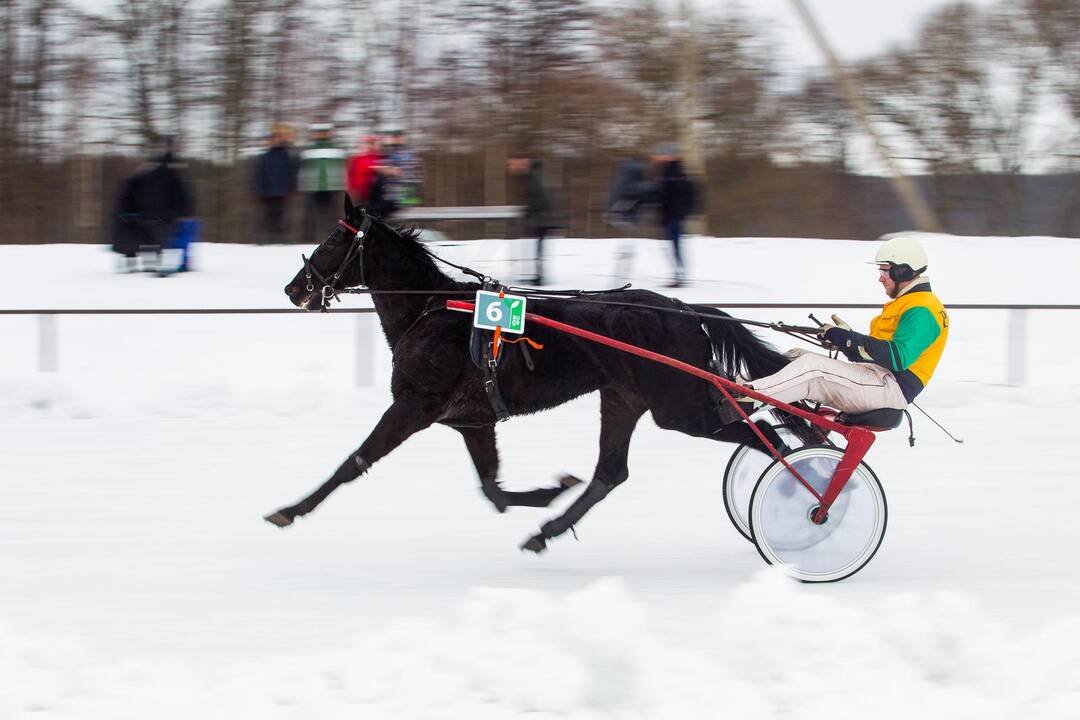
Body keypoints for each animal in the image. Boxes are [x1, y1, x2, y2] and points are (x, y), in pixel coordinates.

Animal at [267, 197, 812, 552]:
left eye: (333, 239)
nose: (295, 288)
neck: (431, 310)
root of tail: (684, 309)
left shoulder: (414, 406)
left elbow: (354, 462)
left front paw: (290, 510)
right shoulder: (472, 421)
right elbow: (493, 490)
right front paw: (550, 491)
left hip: (679, 407)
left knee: (765, 434)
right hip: (624, 399)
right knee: (611, 472)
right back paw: (545, 532)